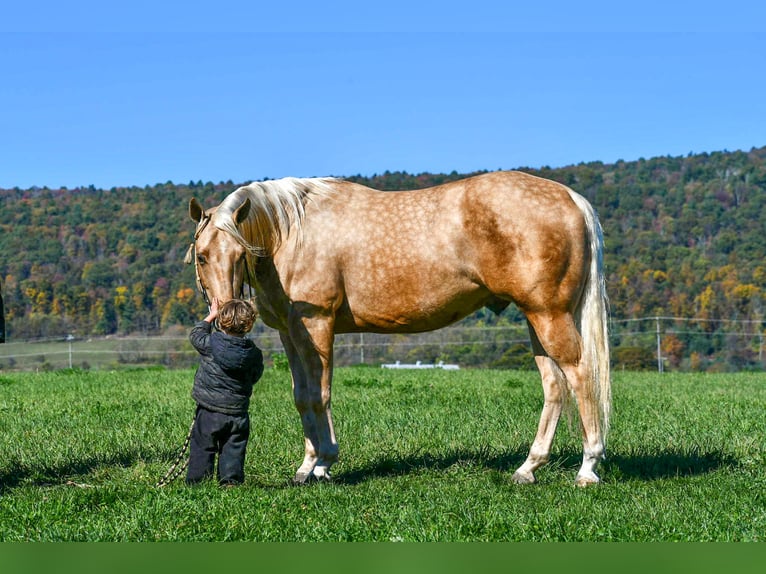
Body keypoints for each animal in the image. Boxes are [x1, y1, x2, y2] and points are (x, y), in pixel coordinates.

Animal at [186, 171, 611, 486]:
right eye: (203, 256)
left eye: (239, 253)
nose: (226, 312)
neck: (293, 234)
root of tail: (572, 198)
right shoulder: (291, 334)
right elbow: (302, 397)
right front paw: (306, 466)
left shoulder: (317, 325)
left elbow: (320, 395)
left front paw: (323, 464)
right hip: (535, 319)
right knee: (554, 386)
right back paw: (528, 468)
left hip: (549, 315)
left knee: (579, 376)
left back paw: (587, 468)